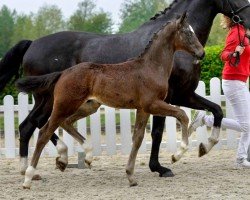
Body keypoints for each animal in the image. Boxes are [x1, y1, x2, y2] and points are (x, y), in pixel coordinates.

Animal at [17, 13, 204, 188]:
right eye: (188, 32)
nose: (202, 53)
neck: (151, 67)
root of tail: (63, 73)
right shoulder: (153, 104)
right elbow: (182, 115)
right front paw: (176, 156)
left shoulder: (143, 109)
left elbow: (138, 138)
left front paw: (130, 176)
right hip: (64, 105)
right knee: (44, 132)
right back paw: (28, 177)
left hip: (88, 106)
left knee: (65, 122)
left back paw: (84, 156)